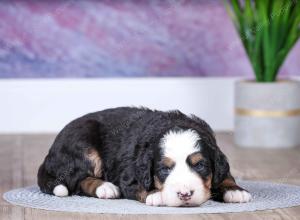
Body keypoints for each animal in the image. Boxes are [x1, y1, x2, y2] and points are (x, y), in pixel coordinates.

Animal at [38, 106, 252, 206]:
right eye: (164, 169)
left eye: (200, 165)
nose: (184, 194)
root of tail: (49, 155)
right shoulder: (129, 174)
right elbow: (139, 186)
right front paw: (156, 194)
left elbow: (225, 175)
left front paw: (235, 190)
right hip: (84, 143)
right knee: (78, 180)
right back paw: (106, 188)